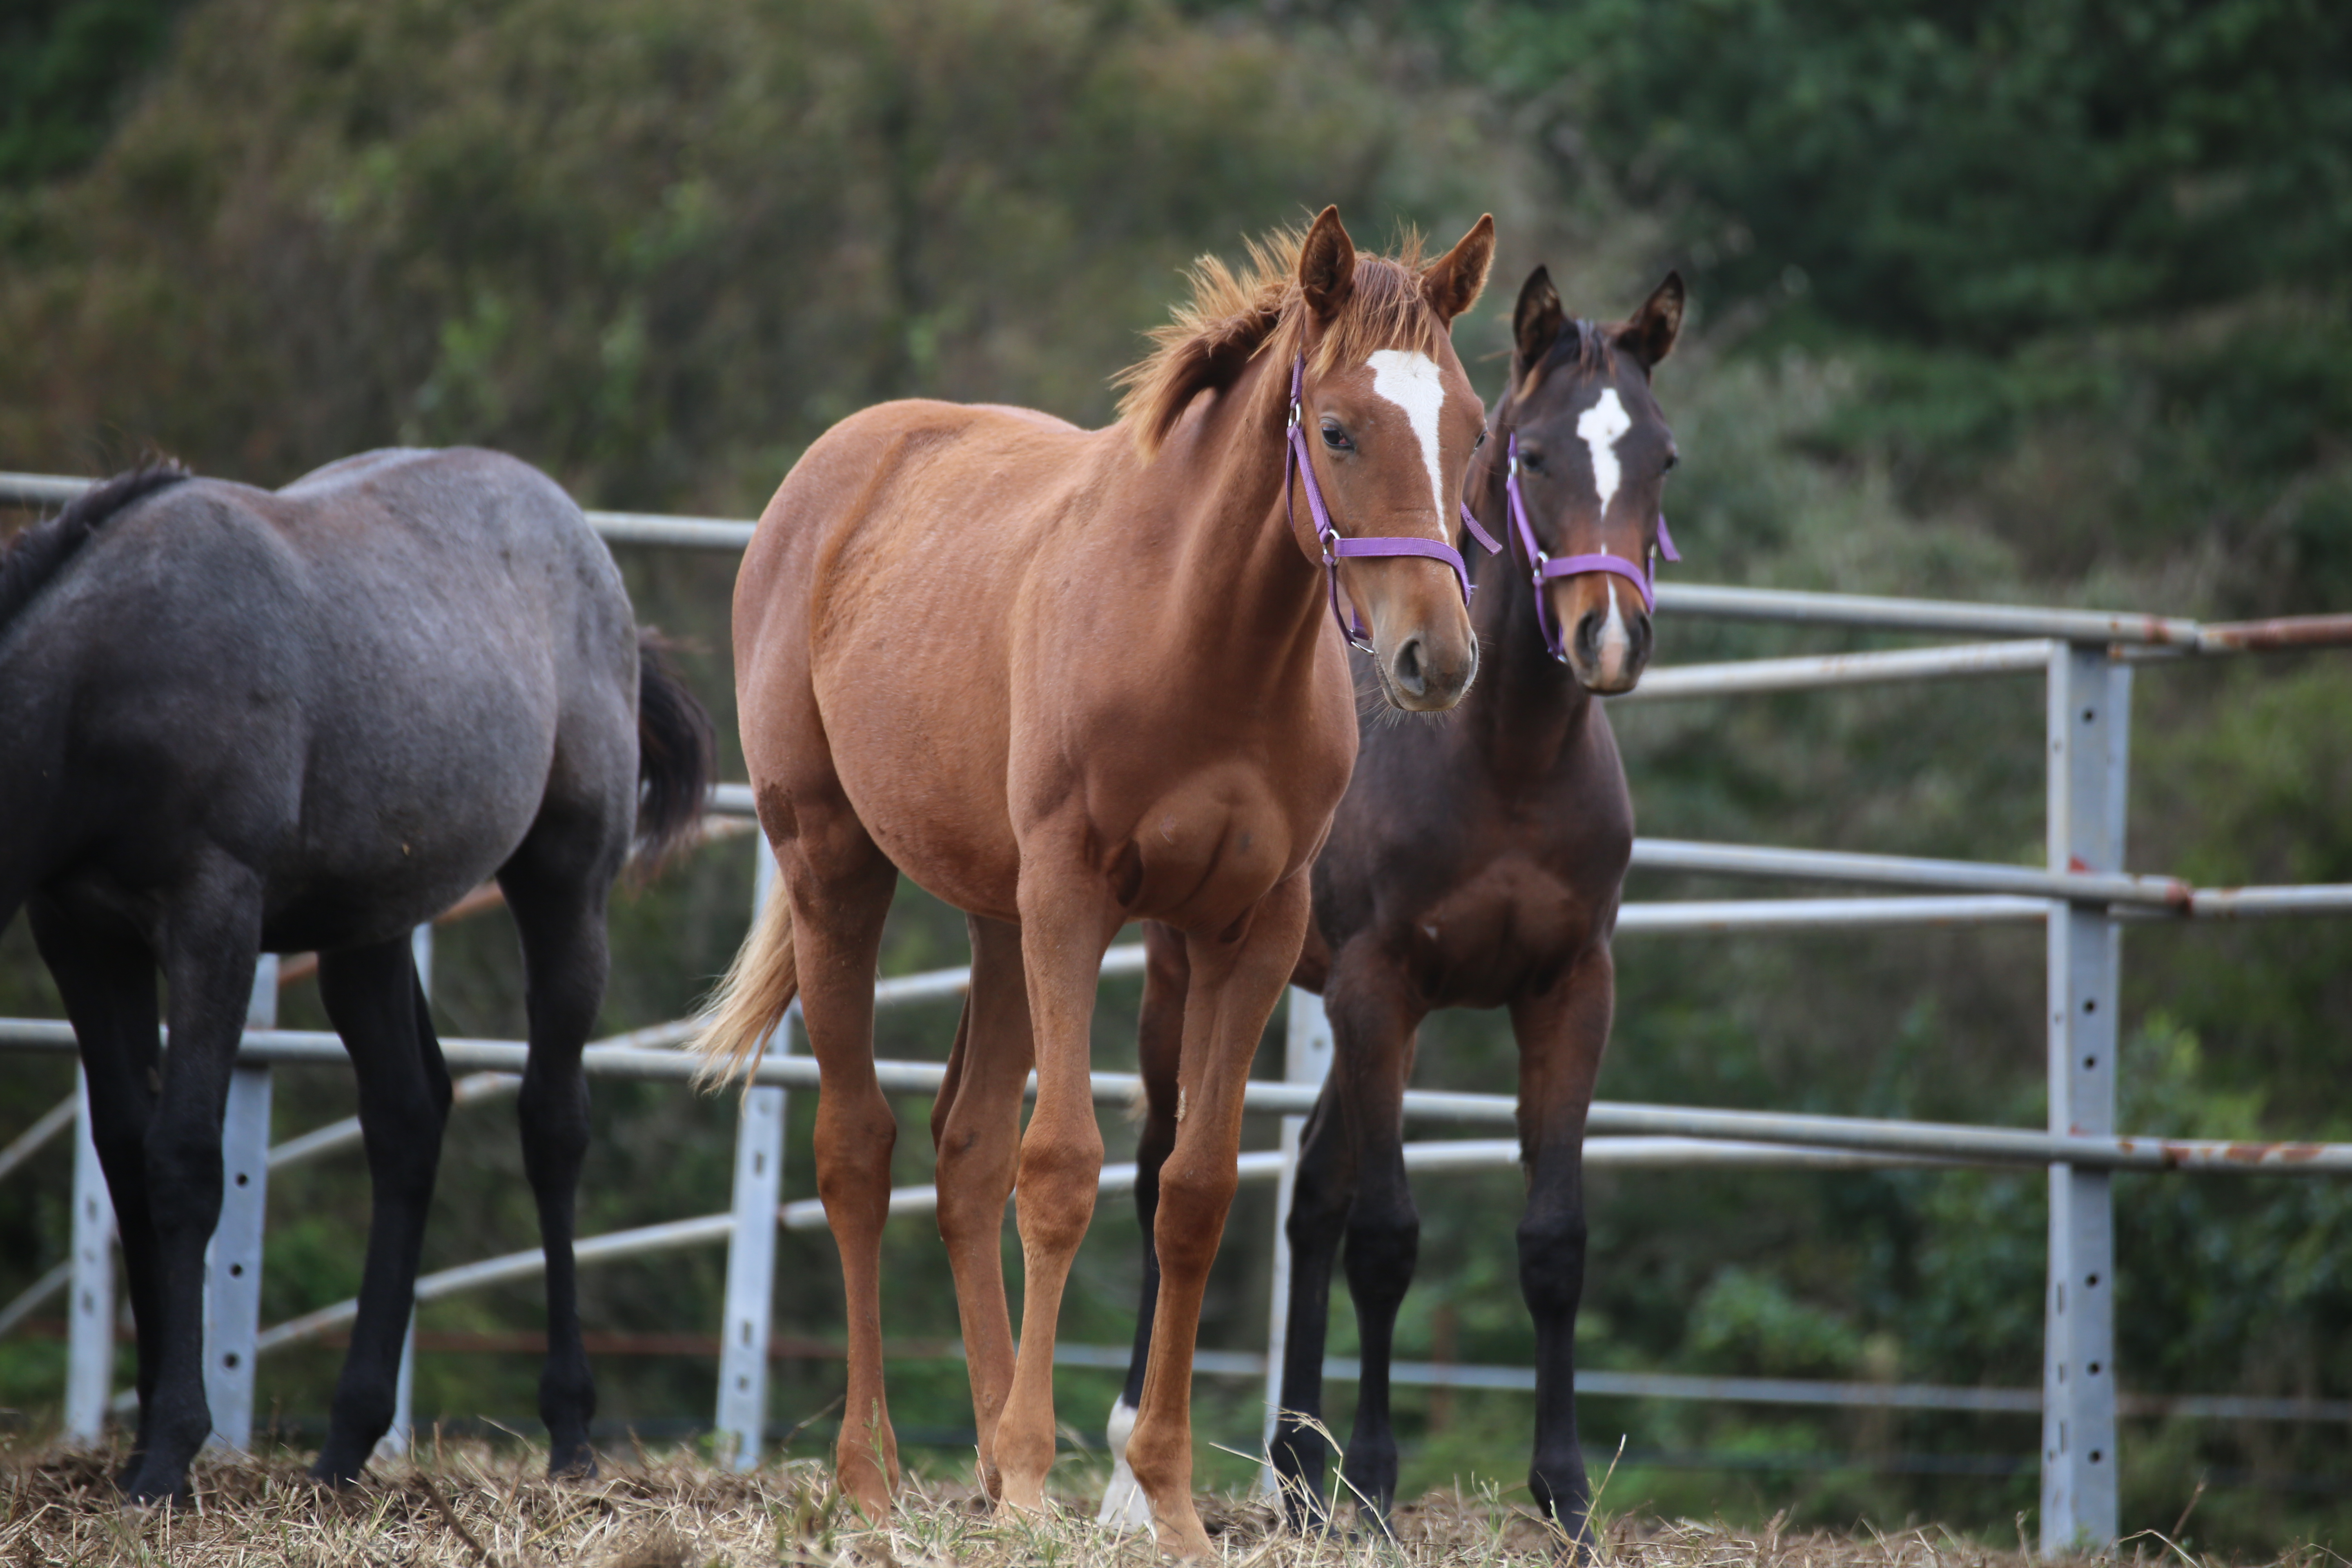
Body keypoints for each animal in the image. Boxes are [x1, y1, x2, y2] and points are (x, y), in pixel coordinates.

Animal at [2, 446, 715, 1504]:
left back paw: (571, 1434)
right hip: (371, 931)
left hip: (564, 884)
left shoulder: (214, 913)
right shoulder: (80, 933)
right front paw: (140, 1447)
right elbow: (128, 1151)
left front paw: (170, 1451)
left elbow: (185, 1159)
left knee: (552, 1124)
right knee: (407, 1120)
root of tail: (572, 526)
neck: (101, 675)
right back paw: (345, 1443)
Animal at [696, 212, 1496, 1561]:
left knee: (964, 1149)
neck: (1200, 641)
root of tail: (837, 470)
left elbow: (1194, 1190)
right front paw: (1032, 1479)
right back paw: (876, 1477)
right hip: (836, 866)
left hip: (994, 916)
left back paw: (974, 1460)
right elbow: (1064, 1167)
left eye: (1476, 431)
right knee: (858, 1147)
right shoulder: (1076, 900)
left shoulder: (1250, 929)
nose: (1436, 657)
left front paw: (1158, 1498)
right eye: (1338, 429)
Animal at [1105, 270, 1684, 1542]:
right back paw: (1143, 1468)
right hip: (1192, 972)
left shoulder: (1570, 989)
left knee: (1307, 1197)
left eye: (1661, 457)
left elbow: (1551, 1241)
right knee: (1166, 1174)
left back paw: (1293, 1472)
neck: (1503, 759)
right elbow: (1385, 1238)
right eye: (1530, 457)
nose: (1608, 637)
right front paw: (1372, 1485)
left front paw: (1565, 1498)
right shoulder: (1385, 984)